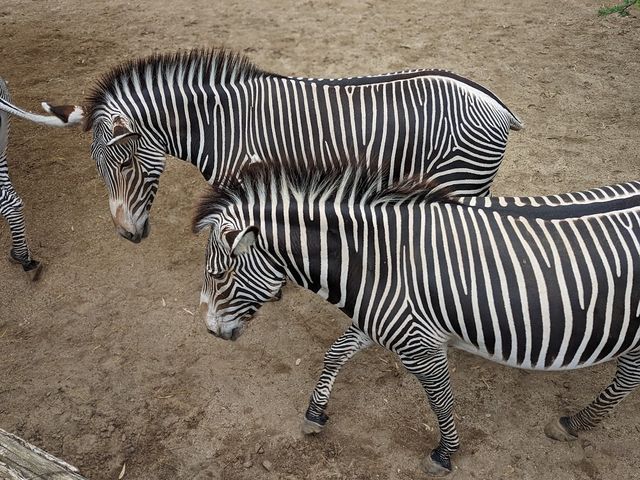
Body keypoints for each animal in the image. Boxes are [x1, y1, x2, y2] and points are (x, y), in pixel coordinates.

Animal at [48, 48, 520, 242]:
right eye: (100, 171)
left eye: (125, 166)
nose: (127, 237)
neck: (220, 124)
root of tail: (495, 102)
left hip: (459, 182)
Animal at [192, 158, 640, 476]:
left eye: (218, 274)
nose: (210, 332)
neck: (380, 263)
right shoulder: (379, 322)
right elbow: (334, 353)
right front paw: (315, 413)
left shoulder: (420, 344)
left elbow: (440, 399)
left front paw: (444, 454)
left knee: (627, 379)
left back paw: (575, 423)